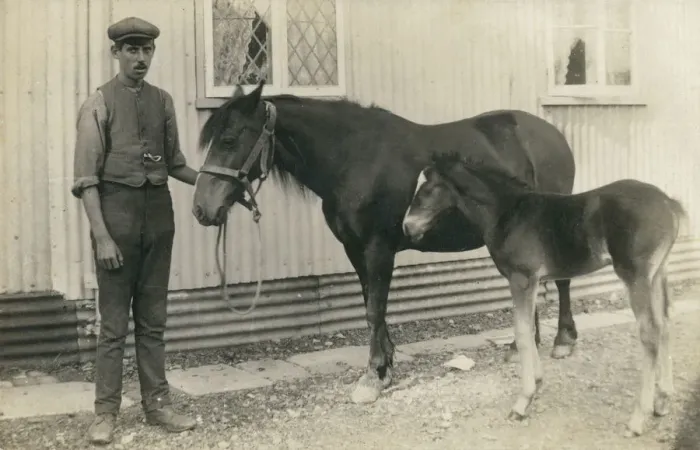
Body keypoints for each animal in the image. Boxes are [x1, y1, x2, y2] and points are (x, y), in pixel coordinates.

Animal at [192, 81, 578, 405]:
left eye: (229, 140)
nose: (201, 209)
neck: (353, 158)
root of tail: (553, 134)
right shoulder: (355, 250)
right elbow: (371, 304)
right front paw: (386, 366)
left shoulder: (378, 249)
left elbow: (374, 309)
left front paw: (372, 376)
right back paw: (522, 344)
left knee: (562, 281)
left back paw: (563, 340)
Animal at [402, 152, 685, 436]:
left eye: (426, 189)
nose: (407, 227)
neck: (507, 213)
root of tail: (669, 203)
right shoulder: (533, 281)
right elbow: (530, 329)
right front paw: (536, 384)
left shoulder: (522, 279)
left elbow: (523, 333)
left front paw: (522, 402)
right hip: (658, 273)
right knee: (665, 324)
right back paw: (662, 401)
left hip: (635, 276)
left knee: (649, 332)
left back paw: (638, 419)